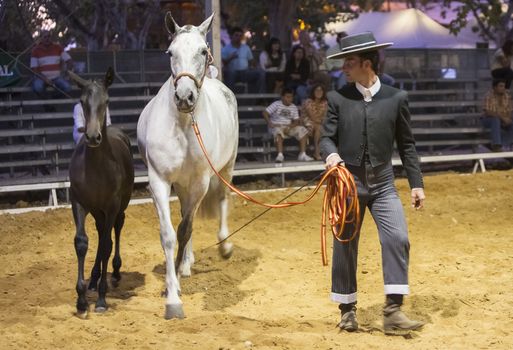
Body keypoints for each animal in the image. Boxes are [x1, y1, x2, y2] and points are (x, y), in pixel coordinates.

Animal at [137, 12, 239, 318]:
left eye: (203, 51)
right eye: (170, 52)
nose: (184, 97)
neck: (183, 125)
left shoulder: (200, 183)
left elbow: (185, 229)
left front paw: (175, 288)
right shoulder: (159, 181)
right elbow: (171, 235)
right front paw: (172, 295)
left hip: (226, 167)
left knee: (221, 200)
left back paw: (224, 246)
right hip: (181, 185)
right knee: (184, 217)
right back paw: (186, 263)